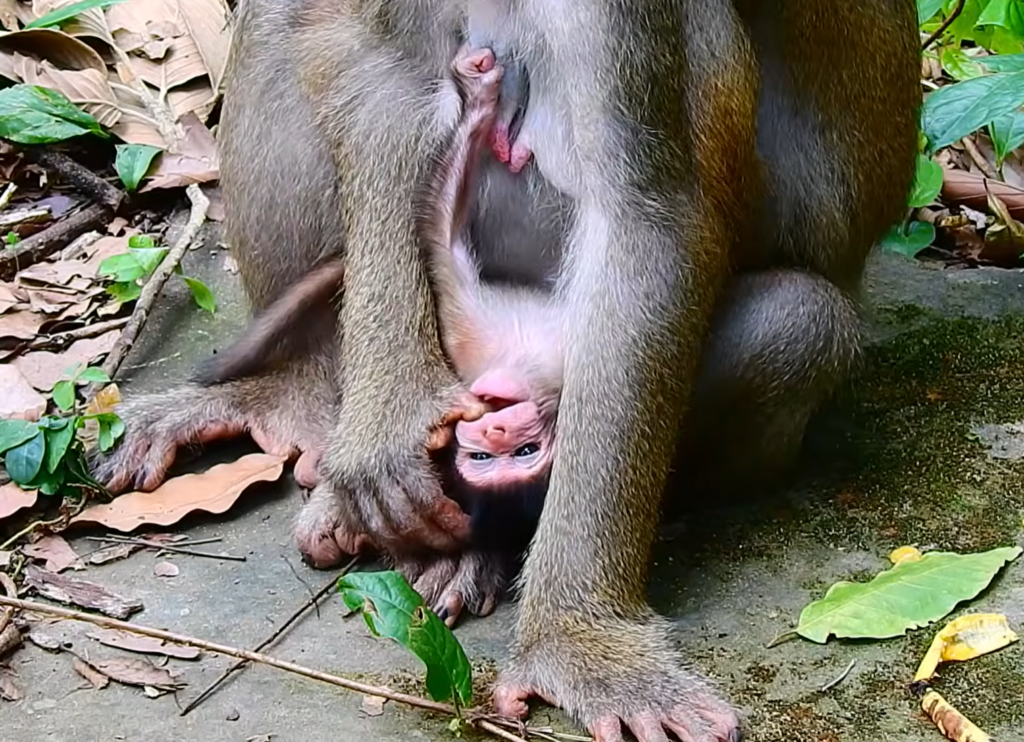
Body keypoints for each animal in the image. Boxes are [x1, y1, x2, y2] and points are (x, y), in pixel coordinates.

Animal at [91, 1, 922, 740]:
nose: (502, 432)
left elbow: (646, 216)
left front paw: (578, 638)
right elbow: (385, 76)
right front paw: (387, 423)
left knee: (797, 320)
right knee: (295, 21)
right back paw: (290, 396)